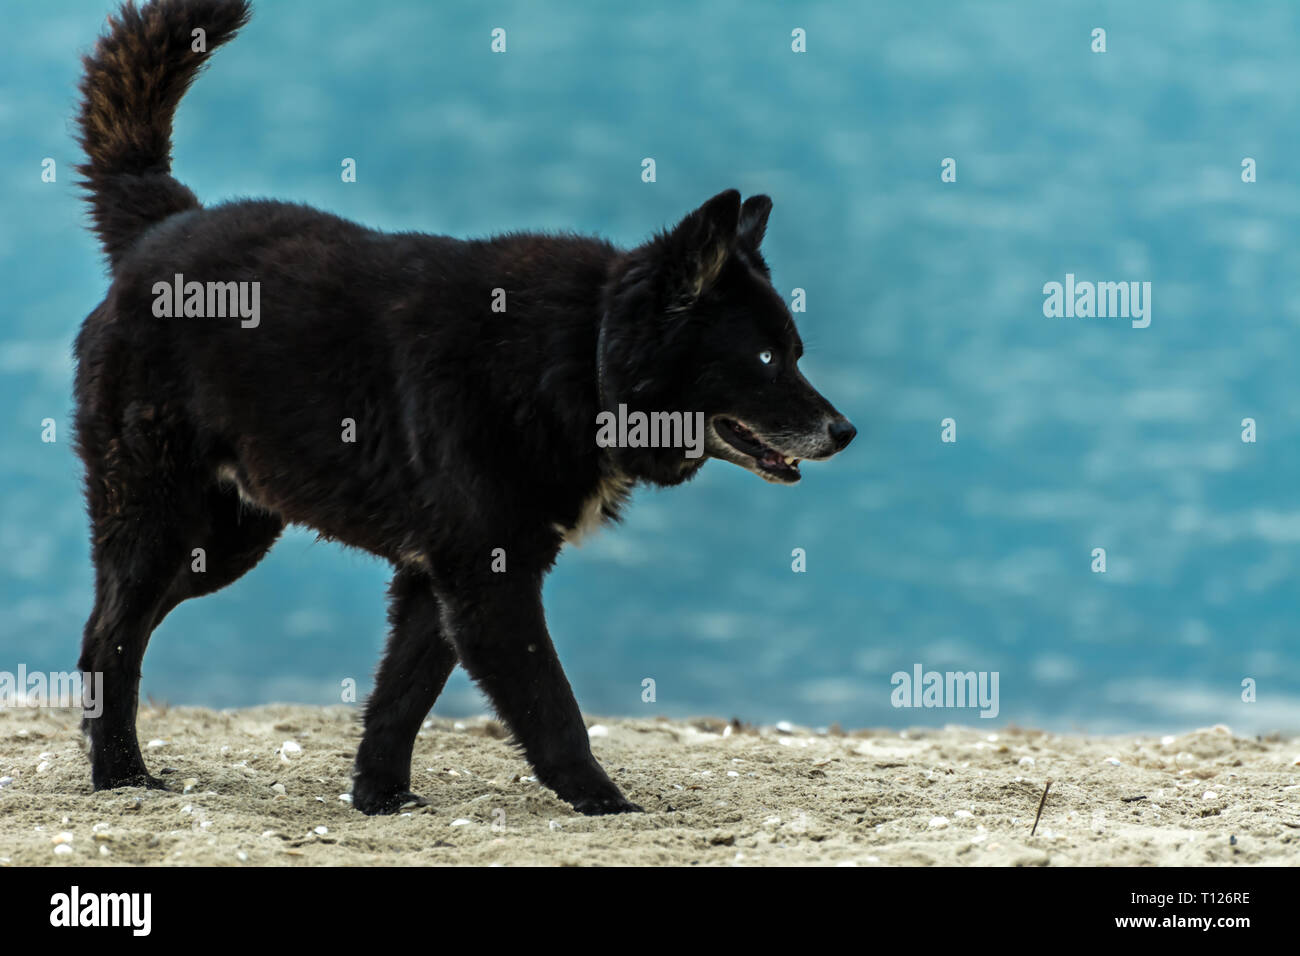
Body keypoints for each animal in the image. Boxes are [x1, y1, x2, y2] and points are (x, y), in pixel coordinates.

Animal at [76, 1, 857, 816]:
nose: (845, 431)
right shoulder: (490, 582)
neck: (579, 359)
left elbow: (400, 699)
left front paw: (381, 798)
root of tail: (162, 226)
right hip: (162, 520)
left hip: (224, 538)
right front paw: (606, 803)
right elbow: (551, 708)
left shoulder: (440, 581)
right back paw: (120, 775)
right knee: (110, 639)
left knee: (115, 628)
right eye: (766, 360)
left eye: (796, 351)